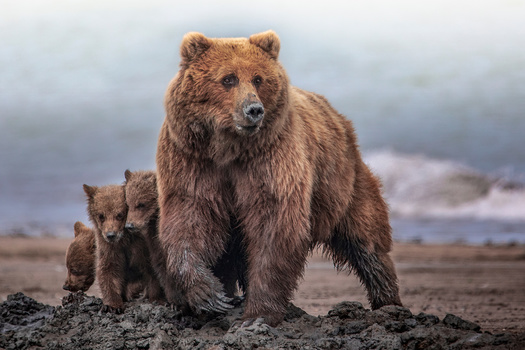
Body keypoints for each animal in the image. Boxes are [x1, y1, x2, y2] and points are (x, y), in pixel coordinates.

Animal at [156, 29, 402, 326]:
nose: (254, 109)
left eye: (258, 78)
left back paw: (388, 302)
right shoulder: (193, 160)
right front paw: (210, 295)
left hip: (343, 181)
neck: (228, 148)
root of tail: (341, 119)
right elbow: (190, 217)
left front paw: (257, 314)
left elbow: (273, 224)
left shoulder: (270, 158)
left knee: (366, 240)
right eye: (228, 78)